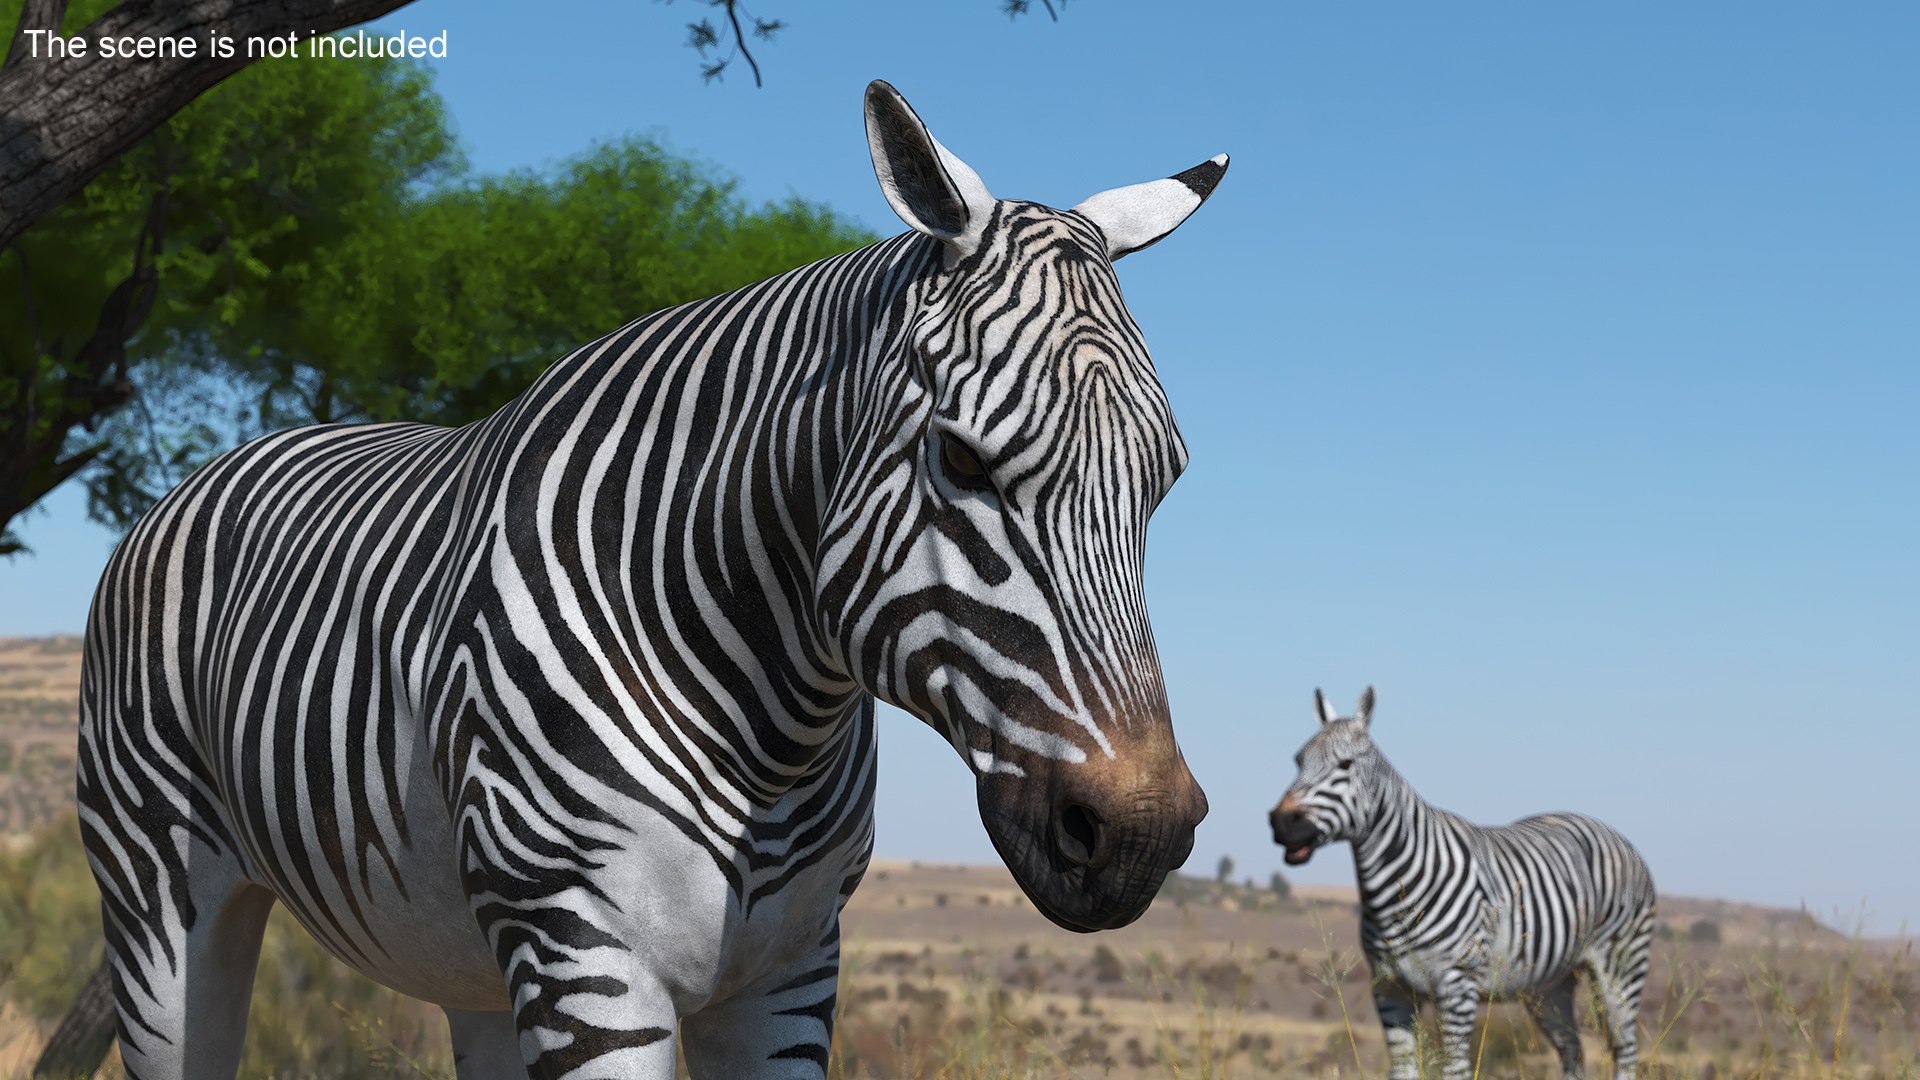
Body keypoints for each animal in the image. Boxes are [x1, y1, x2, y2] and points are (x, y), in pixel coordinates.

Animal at [78, 82, 1213, 1076]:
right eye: (965, 460)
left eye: (1164, 483)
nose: (1139, 837)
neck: (768, 732)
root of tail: (219, 464)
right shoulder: (586, 956)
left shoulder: (790, 972)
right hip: (160, 898)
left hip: (468, 956)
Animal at [1267, 684, 1658, 1076]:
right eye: (1298, 761)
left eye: (1345, 765)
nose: (1281, 822)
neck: (1394, 891)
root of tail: (1610, 829)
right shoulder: (1389, 990)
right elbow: (1403, 1070)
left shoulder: (1456, 988)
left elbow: (1455, 1070)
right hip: (1549, 986)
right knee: (1572, 1049)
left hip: (1621, 966)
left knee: (1624, 1049)